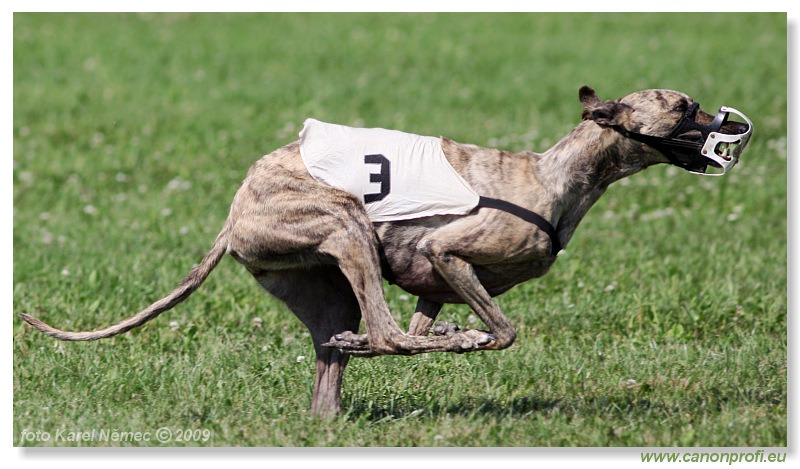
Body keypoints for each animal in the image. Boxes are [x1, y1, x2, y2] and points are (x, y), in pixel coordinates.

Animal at [21, 86, 752, 414]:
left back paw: (332, 395)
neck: (556, 176)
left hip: (322, 282)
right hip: (345, 225)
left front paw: (449, 336)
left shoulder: (435, 282)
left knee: (347, 340)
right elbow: (499, 330)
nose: (733, 126)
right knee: (382, 329)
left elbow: (426, 325)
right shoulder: (449, 251)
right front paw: (469, 339)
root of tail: (234, 214)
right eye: (682, 105)